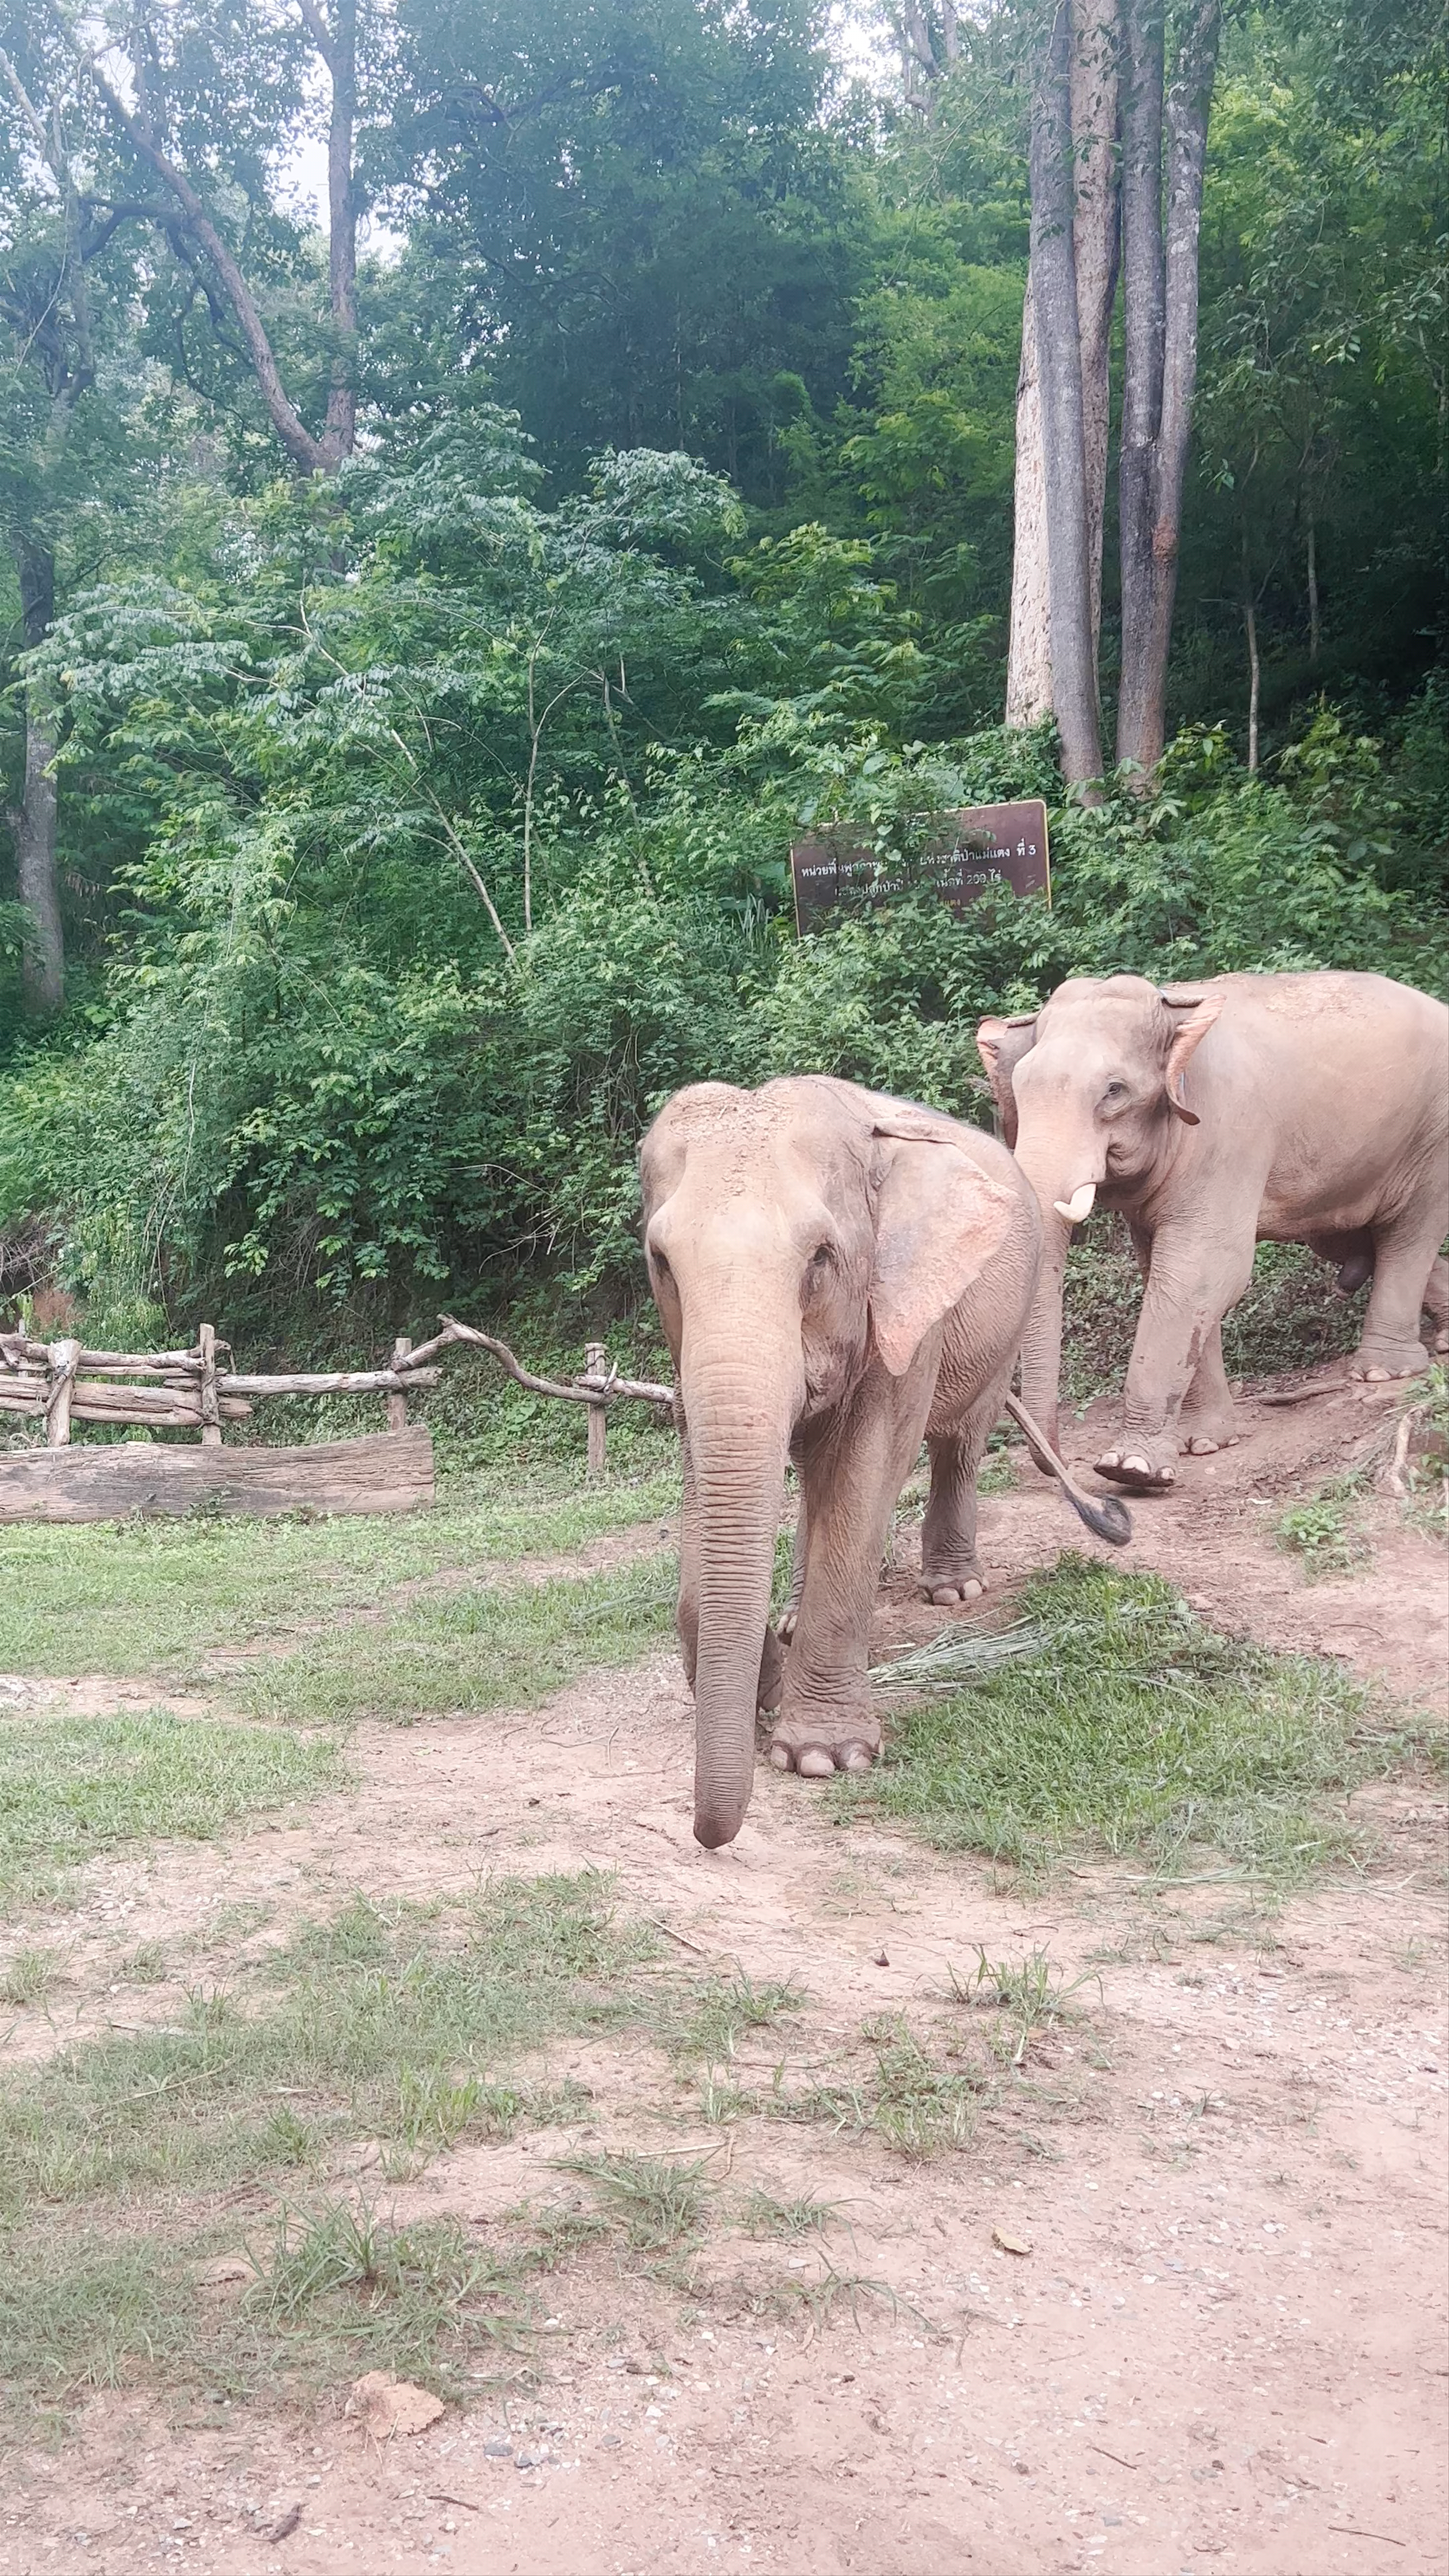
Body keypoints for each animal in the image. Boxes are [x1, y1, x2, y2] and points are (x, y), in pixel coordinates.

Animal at [640, 1074, 1128, 1849]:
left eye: (820, 1257)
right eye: (661, 1262)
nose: (710, 1837)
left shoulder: (906, 1304)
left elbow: (870, 1468)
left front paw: (822, 1757)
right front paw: (769, 1682)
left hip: (1005, 1321)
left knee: (959, 1441)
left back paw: (952, 1591)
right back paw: (791, 1616)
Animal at [976, 970, 1449, 1493]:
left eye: (1114, 1091)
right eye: (1018, 1091)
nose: (1058, 1462)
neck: (1177, 1011)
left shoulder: (1227, 1134)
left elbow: (1200, 1270)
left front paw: (1132, 1468)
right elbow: (1167, 1274)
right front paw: (1203, 1443)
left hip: (1434, 1130)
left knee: (1411, 1230)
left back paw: (1384, 1371)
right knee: (1353, 1236)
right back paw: (1441, 1341)